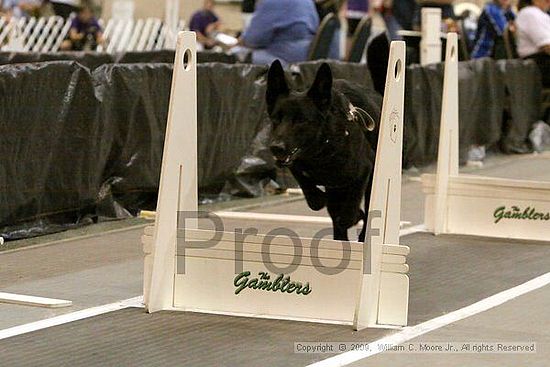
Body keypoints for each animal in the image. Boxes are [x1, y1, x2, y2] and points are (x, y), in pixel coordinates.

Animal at [268, 61, 384, 243]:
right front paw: (319, 198)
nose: (276, 147)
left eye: (301, 120)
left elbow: (349, 212)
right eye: (276, 119)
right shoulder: (296, 166)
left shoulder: (364, 170)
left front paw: (353, 216)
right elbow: (313, 197)